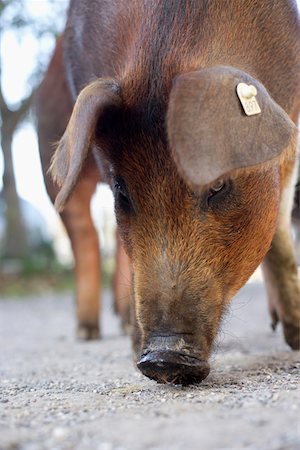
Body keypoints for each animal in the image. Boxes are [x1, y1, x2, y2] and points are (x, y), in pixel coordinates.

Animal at [38, 0, 300, 386]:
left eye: (217, 185)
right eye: (122, 190)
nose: (161, 360)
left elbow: (279, 233)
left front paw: (296, 339)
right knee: (84, 236)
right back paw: (88, 333)